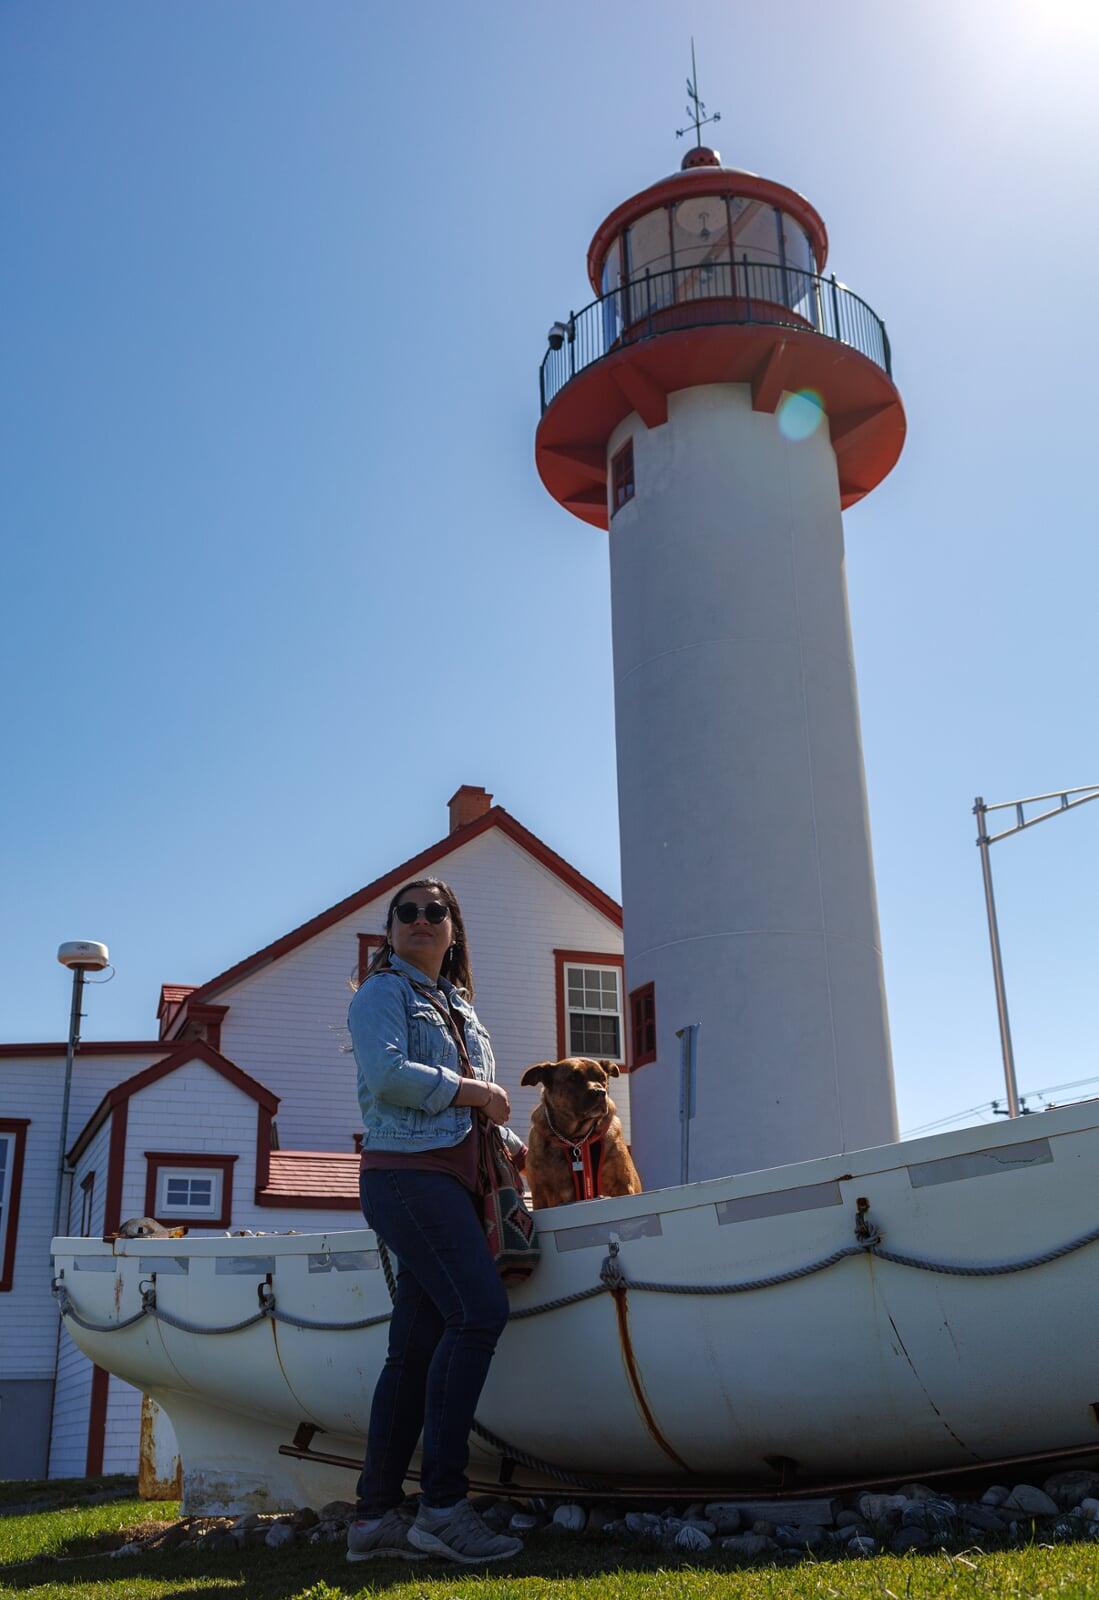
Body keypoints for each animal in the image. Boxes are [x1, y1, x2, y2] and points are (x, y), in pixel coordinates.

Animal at [521, 1056, 646, 1203]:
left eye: (603, 1078)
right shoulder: (541, 1194)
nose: (599, 1092)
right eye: (573, 1078)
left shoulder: (623, 1186)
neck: (577, 1139)